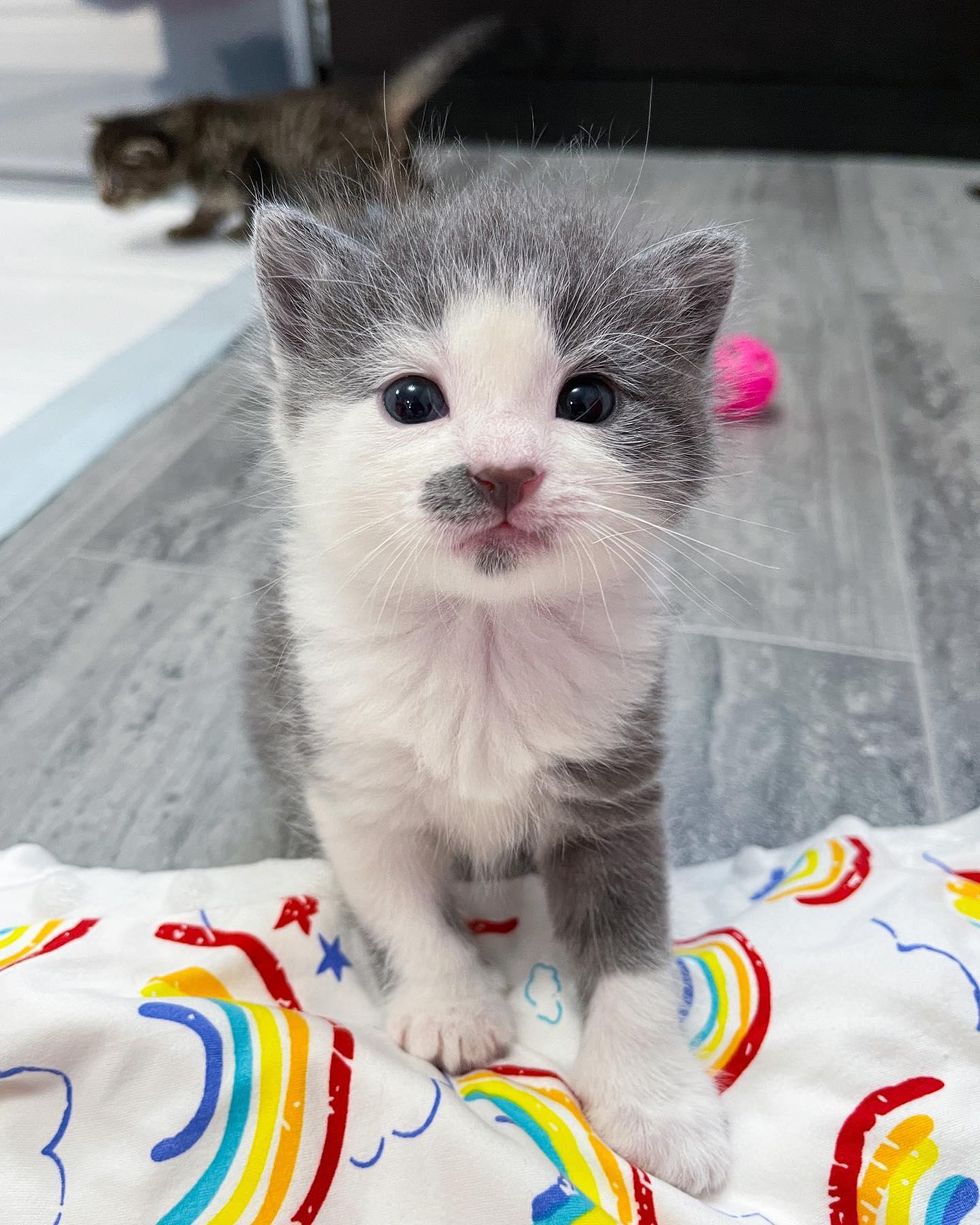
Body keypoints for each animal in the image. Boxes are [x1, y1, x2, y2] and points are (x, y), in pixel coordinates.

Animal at [90, 16, 497, 240]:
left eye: (115, 182)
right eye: (97, 178)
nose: (102, 200)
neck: (191, 132)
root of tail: (374, 103)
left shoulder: (245, 162)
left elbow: (248, 201)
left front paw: (239, 232)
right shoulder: (218, 183)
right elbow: (209, 206)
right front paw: (191, 228)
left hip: (338, 169)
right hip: (395, 168)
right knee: (417, 194)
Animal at [248, 167, 739, 1190]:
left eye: (588, 398)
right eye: (409, 398)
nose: (502, 471)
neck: (483, 635)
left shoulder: (617, 779)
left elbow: (636, 948)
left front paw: (658, 1102)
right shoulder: (346, 767)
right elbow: (395, 899)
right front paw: (450, 1007)